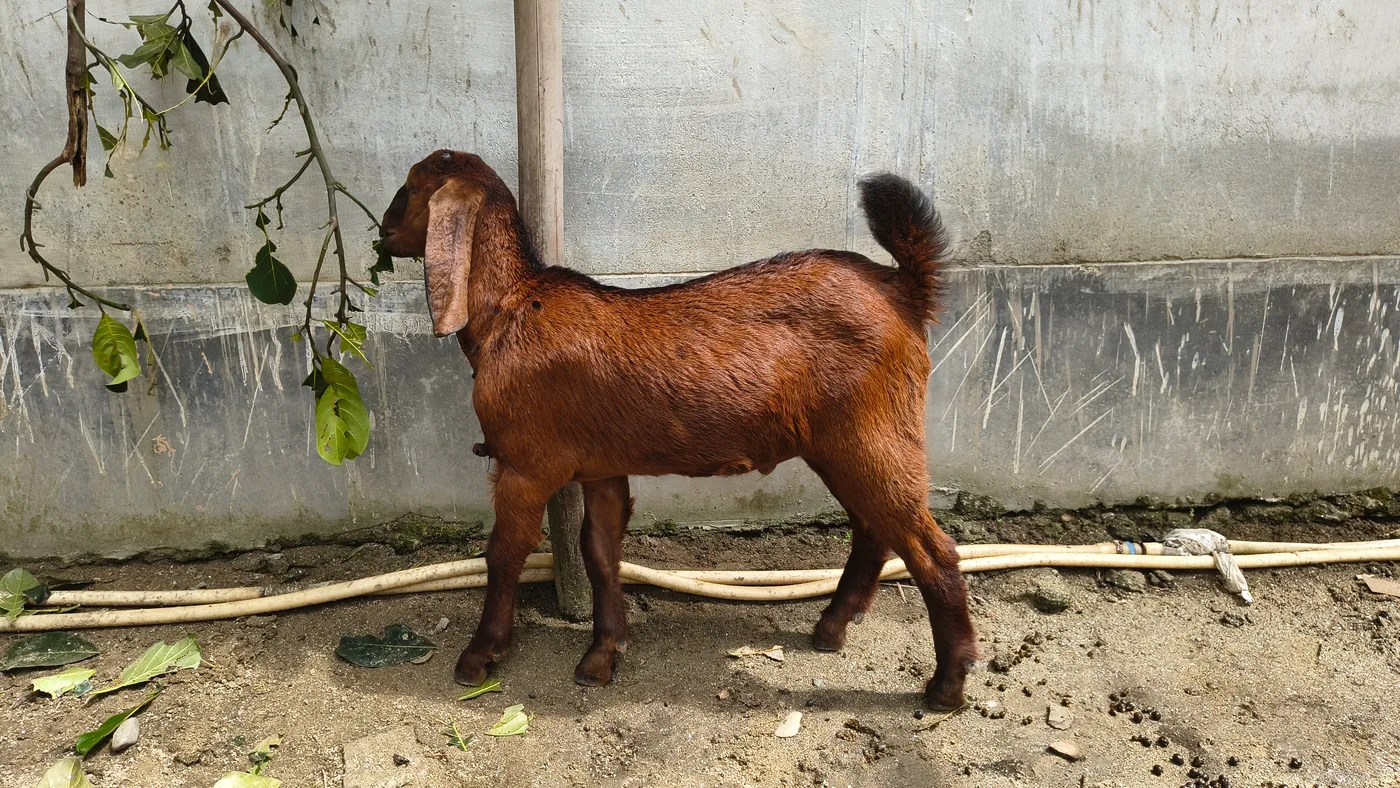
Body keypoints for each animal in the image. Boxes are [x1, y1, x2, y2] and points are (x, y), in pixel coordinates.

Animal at [378, 150, 977, 710]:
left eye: (409, 187)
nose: (381, 231)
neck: (510, 309)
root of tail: (903, 291)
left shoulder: (525, 464)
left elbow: (505, 552)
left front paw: (479, 657)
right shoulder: (601, 467)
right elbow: (600, 551)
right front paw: (602, 655)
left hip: (871, 435)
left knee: (932, 549)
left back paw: (947, 684)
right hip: (841, 445)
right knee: (873, 528)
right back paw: (830, 630)